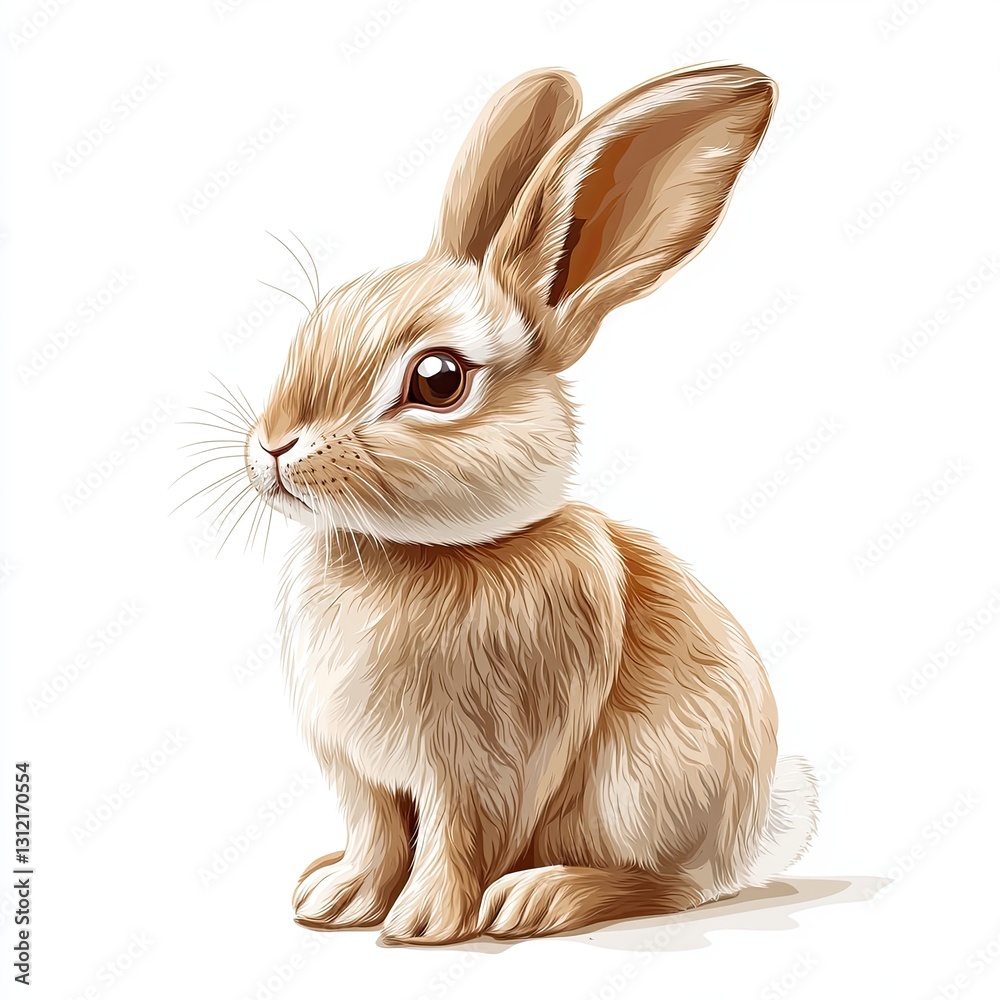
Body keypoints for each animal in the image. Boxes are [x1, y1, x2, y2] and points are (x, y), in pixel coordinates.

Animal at [241, 64, 818, 946]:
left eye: (438, 380)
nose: (273, 445)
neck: (422, 554)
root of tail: (754, 838)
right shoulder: (359, 775)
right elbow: (374, 835)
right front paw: (336, 900)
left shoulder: (478, 769)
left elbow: (456, 837)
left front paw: (422, 924)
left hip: (640, 792)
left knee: (670, 886)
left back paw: (539, 898)